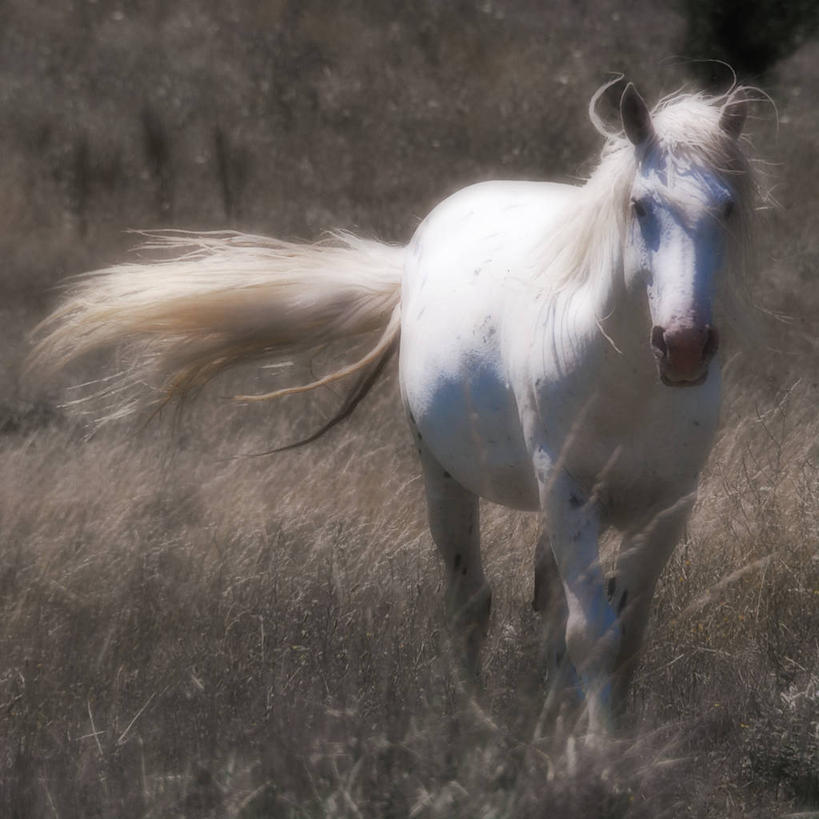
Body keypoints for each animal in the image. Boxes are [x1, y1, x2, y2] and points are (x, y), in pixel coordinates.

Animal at [32, 85, 756, 736]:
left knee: (546, 605)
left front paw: (606, 747)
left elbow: (624, 636)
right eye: (640, 206)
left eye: (726, 208)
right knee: (470, 604)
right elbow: (594, 635)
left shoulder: (668, 505)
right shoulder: (567, 490)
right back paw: (475, 723)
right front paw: (596, 761)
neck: (625, 376)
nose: (683, 345)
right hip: (445, 477)